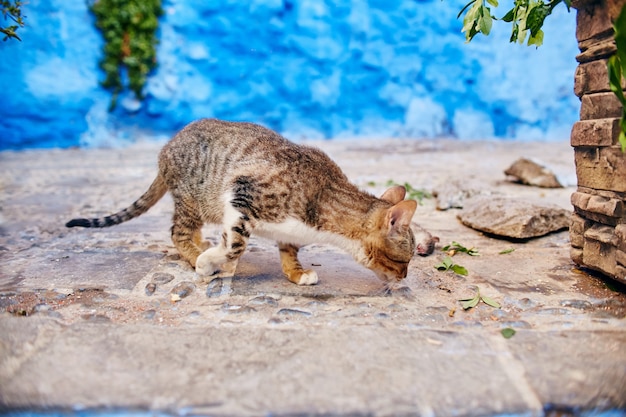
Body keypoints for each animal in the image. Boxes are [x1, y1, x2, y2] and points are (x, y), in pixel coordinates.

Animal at [67, 118, 414, 284]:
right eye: (404, 261)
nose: (405, 278)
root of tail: (166, 148)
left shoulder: (289, 229)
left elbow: (288, 251)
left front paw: (297, 272)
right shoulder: (241, 192)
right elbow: (236, 245)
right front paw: (208, 262)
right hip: (193, 196)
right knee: (178, 231)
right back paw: (196, 254)